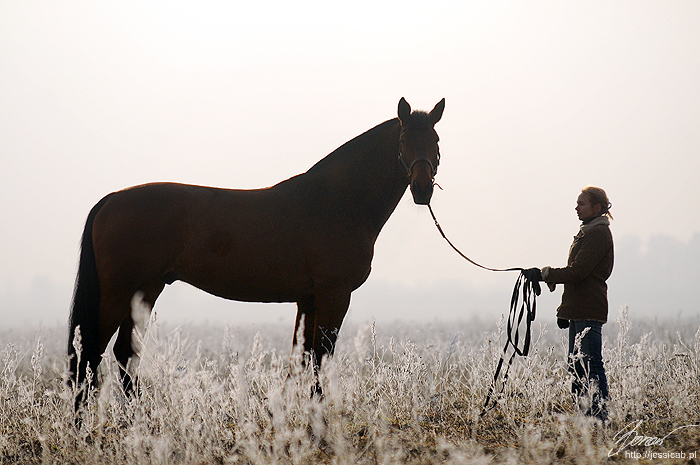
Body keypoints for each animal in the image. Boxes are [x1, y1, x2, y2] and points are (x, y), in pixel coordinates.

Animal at [68, 97, 446, 402]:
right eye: (403, 140)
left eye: (436, 140)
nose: (422, 189)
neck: (336, 201)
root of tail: (110, 200)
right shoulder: (333, 295)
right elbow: (320, 357)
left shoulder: (308, 299)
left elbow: (304, 358)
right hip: (118, 294)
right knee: (91, 353)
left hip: (145, 291)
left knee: (122, 353)